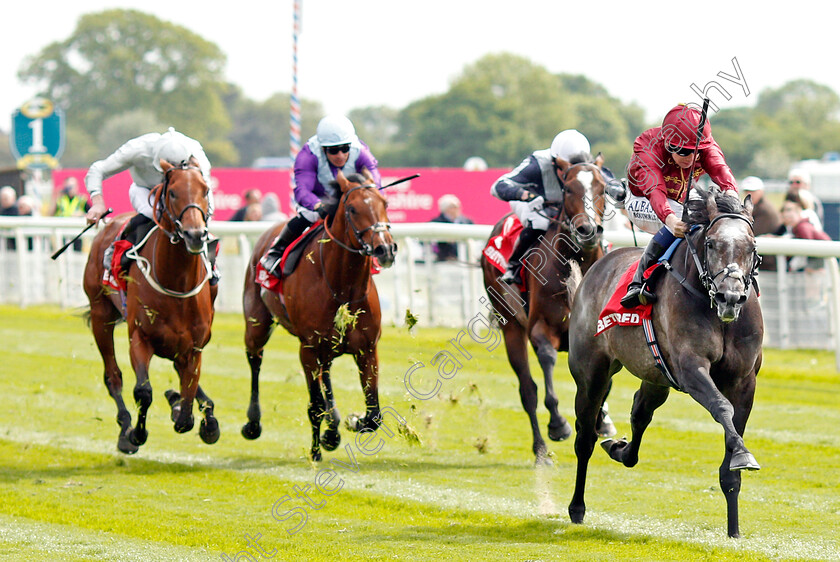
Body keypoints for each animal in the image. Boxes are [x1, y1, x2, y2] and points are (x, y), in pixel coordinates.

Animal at [83, 159, 217, 456]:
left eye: (205, 190)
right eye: (173, 193)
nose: (195, 235)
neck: (176, 283)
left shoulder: (195, 346)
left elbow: (187, 405)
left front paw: (189, 410)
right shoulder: (140, 338)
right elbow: (143, 392)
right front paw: (136, 434)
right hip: (100, 315)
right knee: (113, 376)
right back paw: (125, 428)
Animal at [240, 171, 398, 460]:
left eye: (385, 203)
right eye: (352, 208)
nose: (385, 249)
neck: (342, 287)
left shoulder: (367, 349)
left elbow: (374, 415)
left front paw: (349, 423)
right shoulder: (308, 348)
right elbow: (314, 405)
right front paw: (316, 451)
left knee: (326, 375)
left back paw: (332, 426)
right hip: (257, 325)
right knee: (255, 360)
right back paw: (253, 423)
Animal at [482, 155, 612, 462]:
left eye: (603, 188)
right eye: (568, 189)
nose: (588, 230)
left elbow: (605, 383)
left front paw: (601, 420)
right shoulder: (541, 328)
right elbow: (547, 360)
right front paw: (559, 424)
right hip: (509, 324)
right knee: (527, 389)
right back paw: (541, 449)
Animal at [568, 186, 764, 536]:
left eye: (752, 246)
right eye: (711, 243)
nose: (730, 297)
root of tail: (597, 268)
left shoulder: (744, 381)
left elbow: (732, 452)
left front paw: (734, 530)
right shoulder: (691, 367)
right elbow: (722, 407)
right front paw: (743, 454)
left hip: (656, 376)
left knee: (639, 412)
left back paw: (619, 449)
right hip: (591, 374)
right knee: (585, 437)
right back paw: (577, 507)